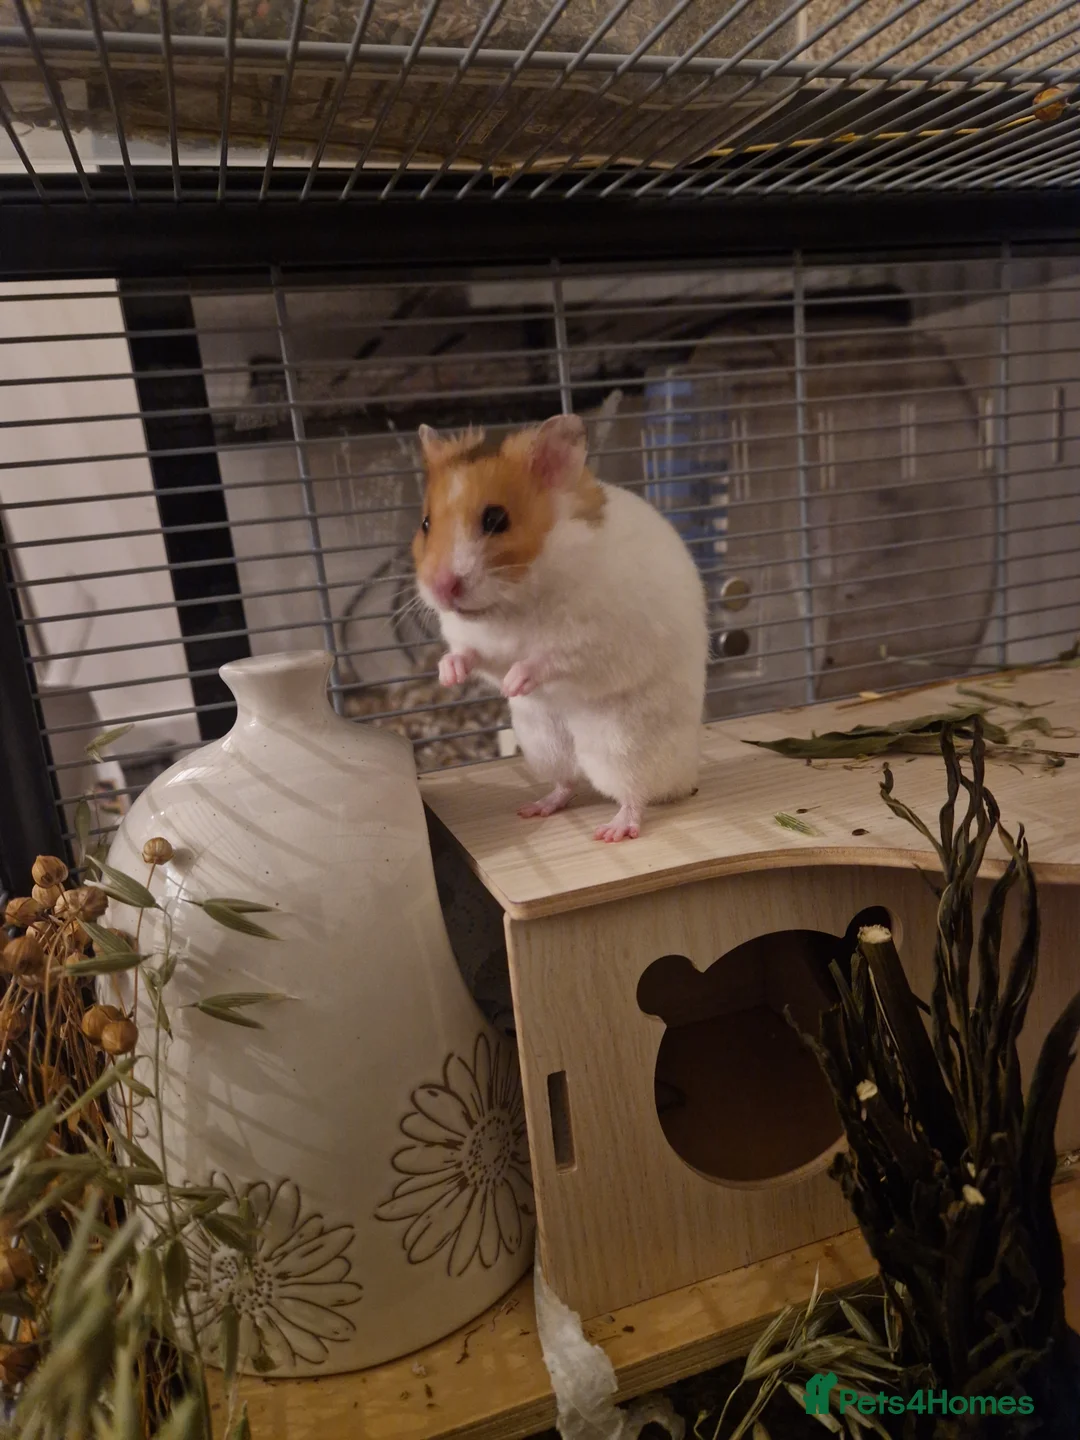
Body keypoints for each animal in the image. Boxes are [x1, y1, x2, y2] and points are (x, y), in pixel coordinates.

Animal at [411, 414, 708, 842]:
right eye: (425, 523)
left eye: (496, 519)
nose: (440, 587)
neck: (510, 602)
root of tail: (685, 777)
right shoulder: (474, 641)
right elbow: (468, 655)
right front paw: (449, 676)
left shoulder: (590, 640)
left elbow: (546, 659)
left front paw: (513, 684)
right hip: (542, 741)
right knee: (567, 782)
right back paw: (534, 808)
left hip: (622, 746)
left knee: (636, 794)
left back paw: (613, 831)